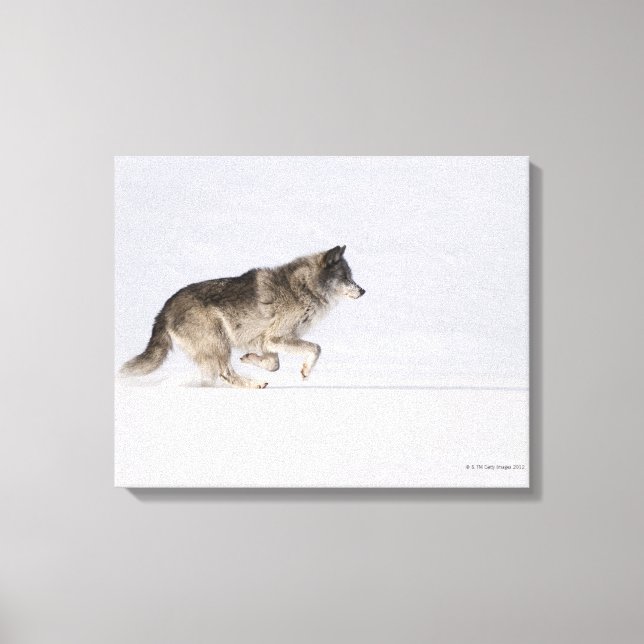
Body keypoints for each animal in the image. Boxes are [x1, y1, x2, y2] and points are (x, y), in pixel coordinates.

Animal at [120, 246, 365, 388]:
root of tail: (164, 309)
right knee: (225, 373)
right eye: (346, 277)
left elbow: (273, 364)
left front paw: (249, 358)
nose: (363, 291)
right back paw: (255, 385)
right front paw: (305, 372)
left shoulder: (266, 341)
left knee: (212, 377)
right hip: (219, 343)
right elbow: (315, 348)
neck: (304, 288)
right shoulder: (276, 337)